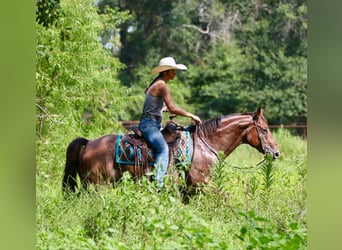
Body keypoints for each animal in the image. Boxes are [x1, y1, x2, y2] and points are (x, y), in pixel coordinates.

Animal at [62, 107, 280, 193]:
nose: (276, 153)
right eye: (265, 130)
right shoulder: (202, 185)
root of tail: (89, 143)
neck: (206, 144)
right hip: (98, 187)